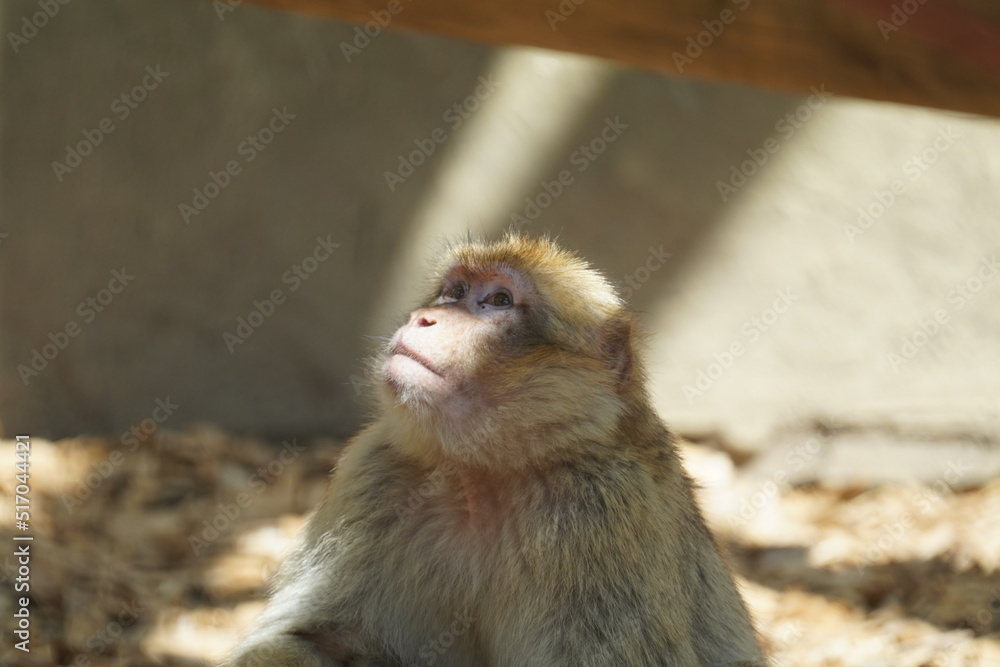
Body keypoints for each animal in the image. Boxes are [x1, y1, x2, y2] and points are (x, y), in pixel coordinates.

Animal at [228, 233, 766, 666]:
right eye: (456, 293)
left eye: (499, 300)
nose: (424, 318)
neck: (486, 473)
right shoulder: (376, 471)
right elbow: (304, 638)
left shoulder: (598, 510)